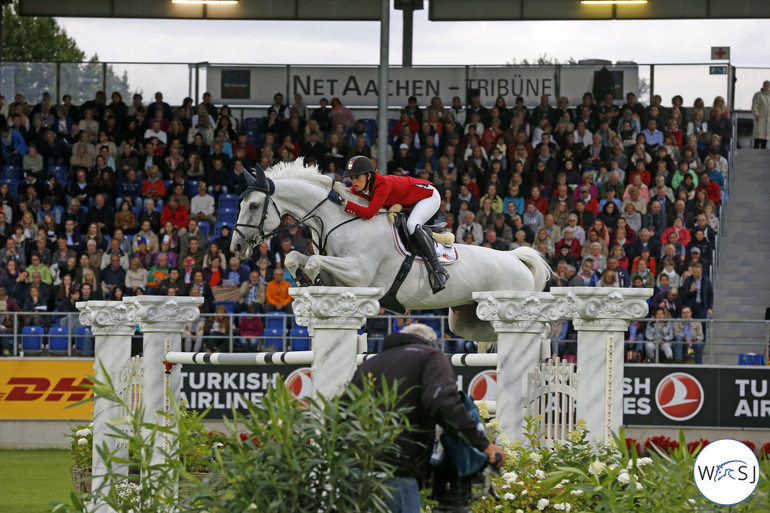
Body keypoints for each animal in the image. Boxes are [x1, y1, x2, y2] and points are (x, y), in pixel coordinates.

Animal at [231, 160, 548, 342]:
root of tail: (516, 259)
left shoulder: (359, 274)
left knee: (537, 334)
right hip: (467, 321)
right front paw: (304, 281)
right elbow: (295, 257)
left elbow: (314, 262)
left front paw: (311, 279)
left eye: (254, 205)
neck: (337, 219)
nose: (236, 247)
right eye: (240, 203)